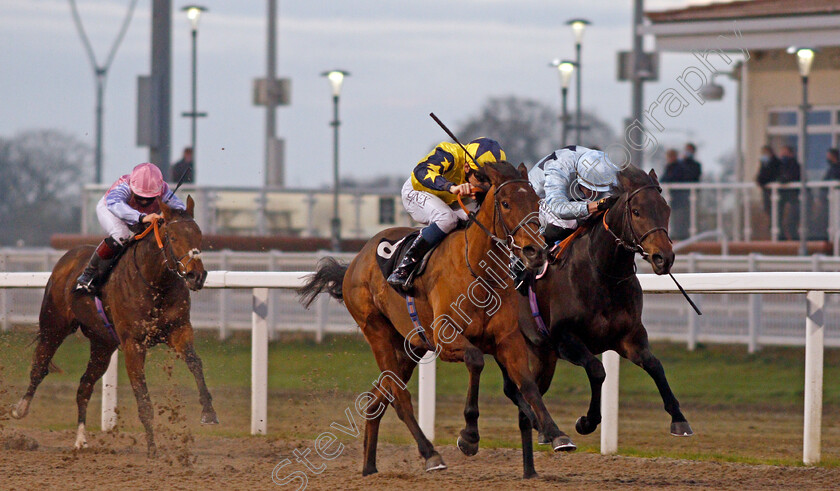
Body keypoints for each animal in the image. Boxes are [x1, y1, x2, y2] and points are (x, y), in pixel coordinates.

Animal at [10, 196, 213, 458]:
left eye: (199, 235)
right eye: (174, 237)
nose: (196, 276)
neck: (154, 281)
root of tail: (67, 258)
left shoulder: (179, 329)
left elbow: (195, 363)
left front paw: (208, 412)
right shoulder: (133, 343)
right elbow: (142, 394)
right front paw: (152, 447)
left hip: (102, 344)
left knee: (84, 385)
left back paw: (81, 440)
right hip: (53, 326)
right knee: (39, 367)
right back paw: (20, 409)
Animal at [296, 161, 576, 476]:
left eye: (536, 202)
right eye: (505, 203)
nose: (536, 251)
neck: (477, 270)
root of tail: (356, 261)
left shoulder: (507, 339)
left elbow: (527, 384)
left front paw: (555, 433)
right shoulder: (446, 338)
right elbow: (475, 361)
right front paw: (469, 436)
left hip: (409, 346)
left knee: (377, 397)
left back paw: (369, 467)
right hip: (377, 331)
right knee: (400, 397)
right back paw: (430, 454)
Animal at [508, 166, 692, 480]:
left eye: (666, 209)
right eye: (637, 211)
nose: (663, 258)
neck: (601, 273)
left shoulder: (629, 337)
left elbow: (655, 365)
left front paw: (679, 419)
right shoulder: (565, 339)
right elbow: (597, 370)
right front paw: (586, 421)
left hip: (545, 357)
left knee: (527, 399)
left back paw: (532, 464)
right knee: (517, 391)